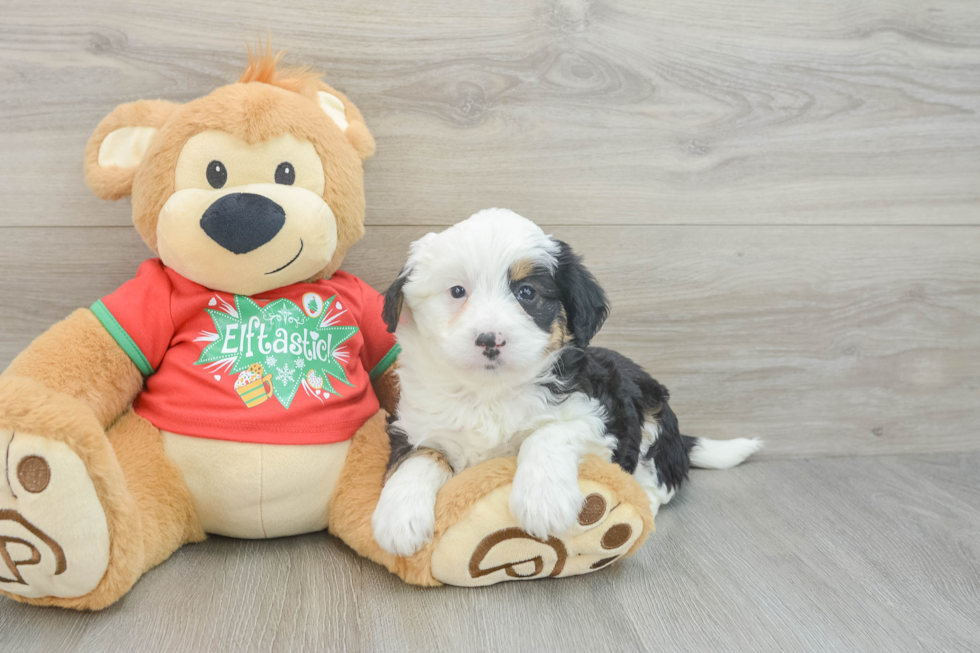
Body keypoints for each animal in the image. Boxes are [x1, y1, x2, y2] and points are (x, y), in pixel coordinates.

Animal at [372, 209, 760, 556]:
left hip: (654, 413)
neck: (490, 392)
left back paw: (642, 500)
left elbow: (549, 432)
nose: (489, 339)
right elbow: (420, 457)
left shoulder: (600, 416)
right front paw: (398, 517)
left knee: (661, 481)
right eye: (456, 291)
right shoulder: (414, 424)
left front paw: (543, 501)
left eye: (527, 293)